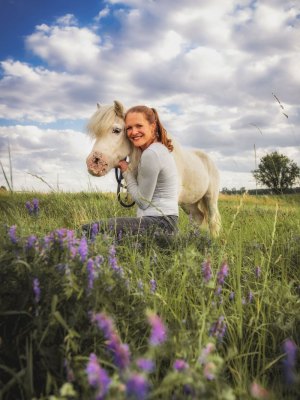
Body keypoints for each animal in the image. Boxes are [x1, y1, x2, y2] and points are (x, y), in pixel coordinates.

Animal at [85, 101, 221, 238]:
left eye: (116, 130)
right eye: (96, 134)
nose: (93, 163)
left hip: (210, 199)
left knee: (212, 221)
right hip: (189, 203)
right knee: (197, 217)